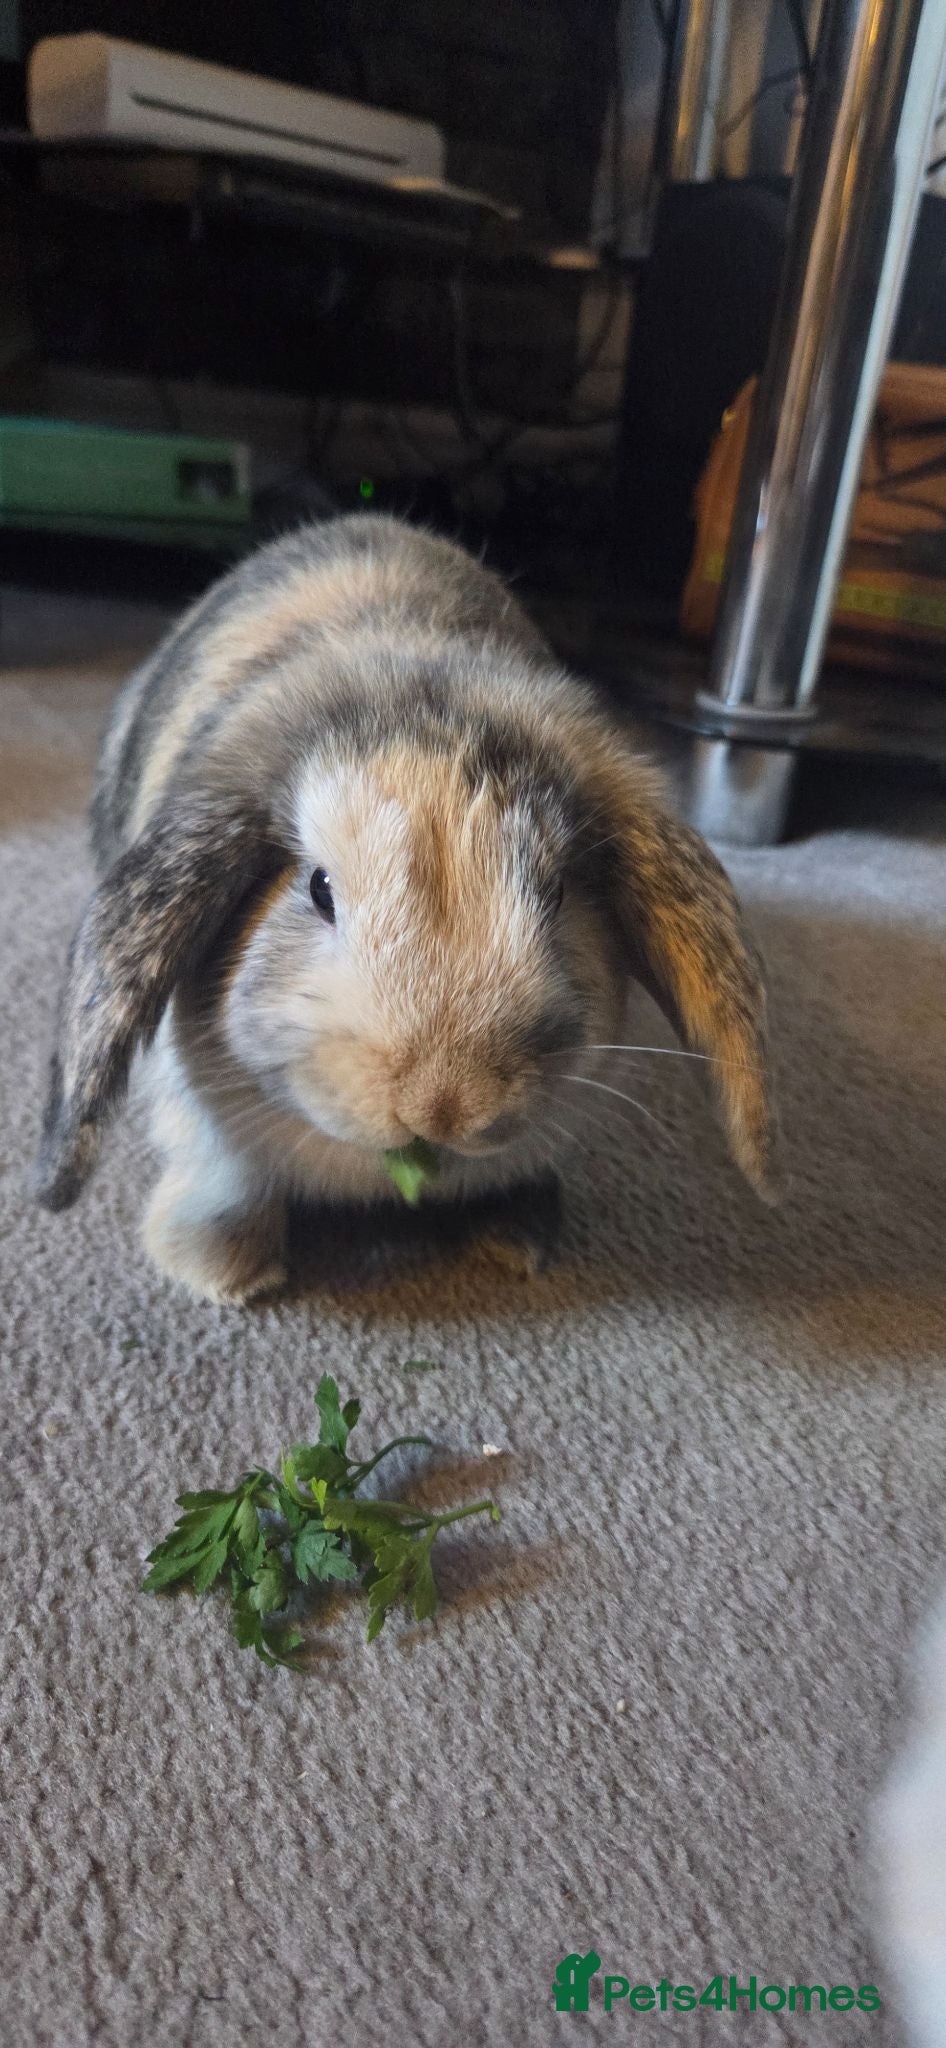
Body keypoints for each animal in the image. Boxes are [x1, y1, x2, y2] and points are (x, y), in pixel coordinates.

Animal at [35, 513, 777, 1303]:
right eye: (319, 889)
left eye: (556, 892)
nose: (443, 1103)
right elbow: (229, 1176)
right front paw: (226, 1272)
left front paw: (515, 1242)